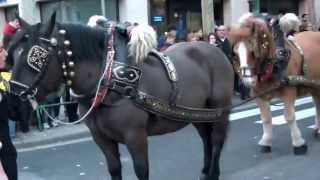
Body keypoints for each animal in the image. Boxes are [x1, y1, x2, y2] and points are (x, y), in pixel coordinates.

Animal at [6, 13, 234, 179]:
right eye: (13, 55)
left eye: (37, 56)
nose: (13, 104)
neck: (108, 77)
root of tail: (216, 51)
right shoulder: (102, 139)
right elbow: (114, 168)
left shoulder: (135, 136)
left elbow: (142, 170)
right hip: (198, 113)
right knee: (206, 139)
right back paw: (205, 171)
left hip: (219, 112)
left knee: (216, 141)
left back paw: (213, 173)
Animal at [229, 13, 320, 155]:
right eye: (235, 53)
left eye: (253, 51)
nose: (248, 80)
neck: (275, 61)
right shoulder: (259, 95)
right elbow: (266, 119)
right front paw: (266, 142)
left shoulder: (288, 91)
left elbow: (289, 117)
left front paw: (298, 143)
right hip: (313, 85)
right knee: (317, 104)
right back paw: (317, 128)